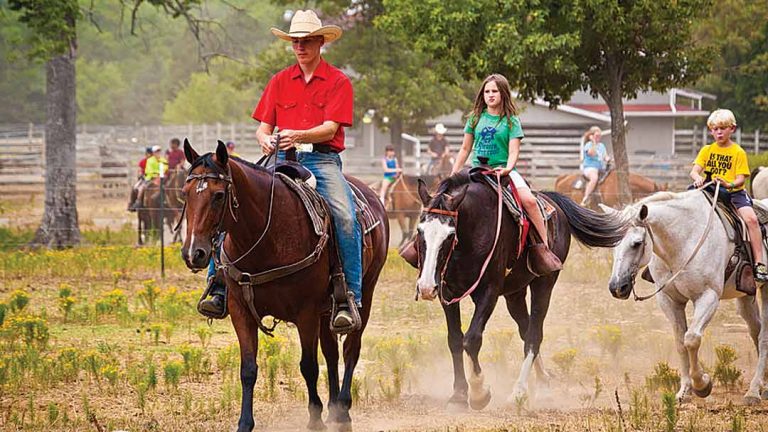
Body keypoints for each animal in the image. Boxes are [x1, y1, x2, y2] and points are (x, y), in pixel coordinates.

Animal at [181, 140, 390, 430]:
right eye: (185, 194)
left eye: (219, 195)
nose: (193, 253)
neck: (268, 236)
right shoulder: (240, 310)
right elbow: (248, 369)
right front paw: (244, 423)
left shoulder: (306, 313)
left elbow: (308, 366)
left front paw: (315, 420)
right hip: (327, 310)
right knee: (332, 353)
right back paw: (334, 408)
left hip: (365, 295)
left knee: (350, 350)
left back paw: (343, 412)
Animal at [414, 172, 624, 408]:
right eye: (420, 231)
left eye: (450, 235)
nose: (425, 287)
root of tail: (552, 203)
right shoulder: (448, 293)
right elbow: (455, 340)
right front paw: (458, 395)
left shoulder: (489, 292)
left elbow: (472, 338)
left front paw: (479, 393)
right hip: (514, 294)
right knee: (525, 329)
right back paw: (543, 384)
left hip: (544, 284)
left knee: (533, 335)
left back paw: (519, 392)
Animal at [608, 191, 768, 404]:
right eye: (612, 245)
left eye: (636, 244)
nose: (617, 287)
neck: (685, 239)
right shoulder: (669, 300)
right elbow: (680, 342)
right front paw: (684, 390)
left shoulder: (708, 296)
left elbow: (691, 339)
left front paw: (702, 385)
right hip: (744, 296)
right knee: (755, 330)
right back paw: (763, 384)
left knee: (764, 337)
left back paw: (753, 391)